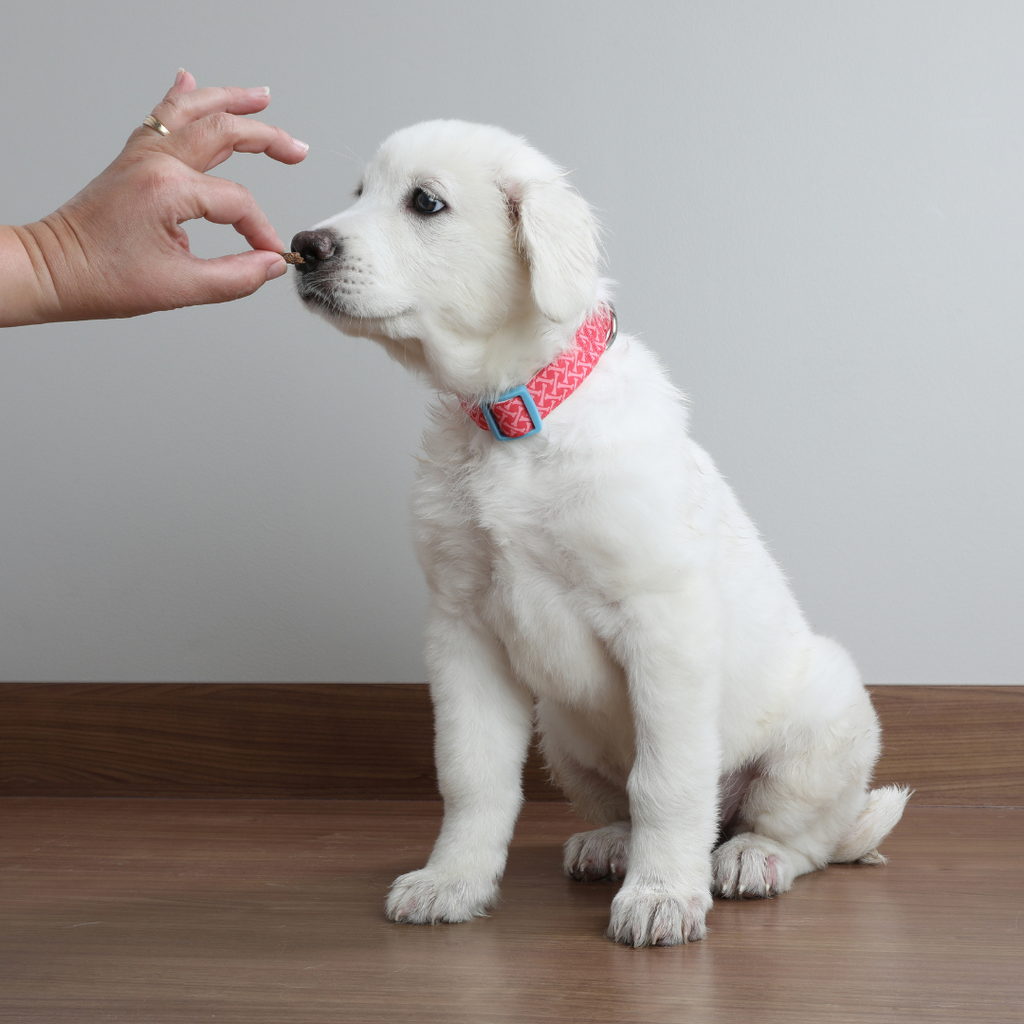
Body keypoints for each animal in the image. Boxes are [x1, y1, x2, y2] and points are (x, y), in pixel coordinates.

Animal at [292, 121, 909, 950]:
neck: (514, 416)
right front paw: (453, 881)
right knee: (624, 803)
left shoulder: (662, 622)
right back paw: (610, 845)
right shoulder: (462, 629)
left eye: (425, 203)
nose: (302, 247)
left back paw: (750, 858)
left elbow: (667, 781)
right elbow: (472, 774)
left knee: (803, 835)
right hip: (564, 734)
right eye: (358, 193)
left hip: (827, 721)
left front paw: (662, 896)